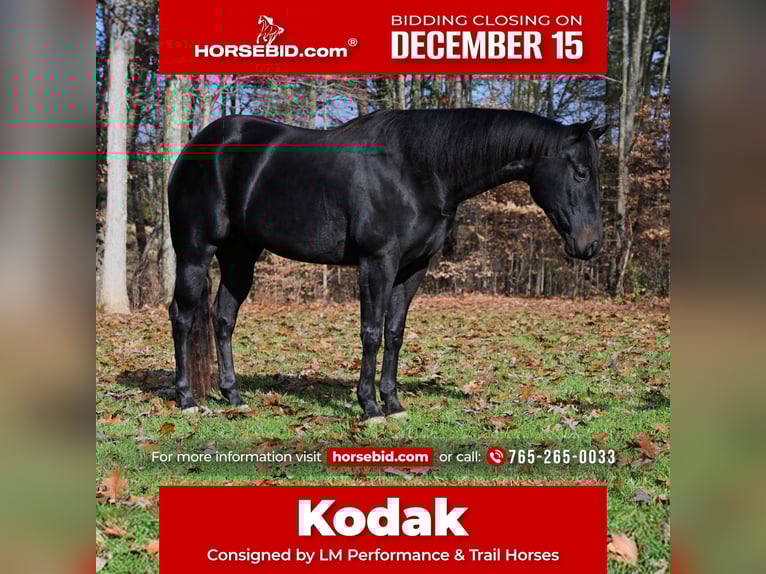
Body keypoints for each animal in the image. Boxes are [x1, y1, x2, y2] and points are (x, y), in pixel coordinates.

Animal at [167, 109, 608, 423]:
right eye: (580, 172)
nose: (591, 243)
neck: (419, 169)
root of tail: (194, 149)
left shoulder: (413, 268)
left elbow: (395, 334)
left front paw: (393, 403)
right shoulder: (377, 262)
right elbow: (371, 333)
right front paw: (369, 408)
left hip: (240, 256)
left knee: (223, 319)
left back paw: (234, 396)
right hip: (195, 252)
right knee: (183, 316)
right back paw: (187, 400)